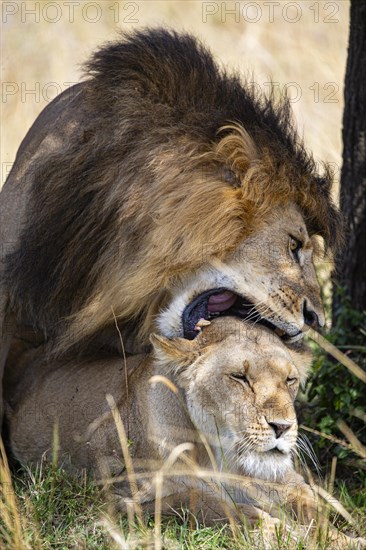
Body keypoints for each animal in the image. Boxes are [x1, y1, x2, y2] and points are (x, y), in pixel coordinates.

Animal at [5, 320, 364, 548]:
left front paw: (343, 540)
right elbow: (208, 504)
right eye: (239, 377)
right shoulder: (117, 498)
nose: (283, 427)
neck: (224, 458)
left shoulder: (285, 483)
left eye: (290, 380)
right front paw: (281, 534)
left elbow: (313, 511)